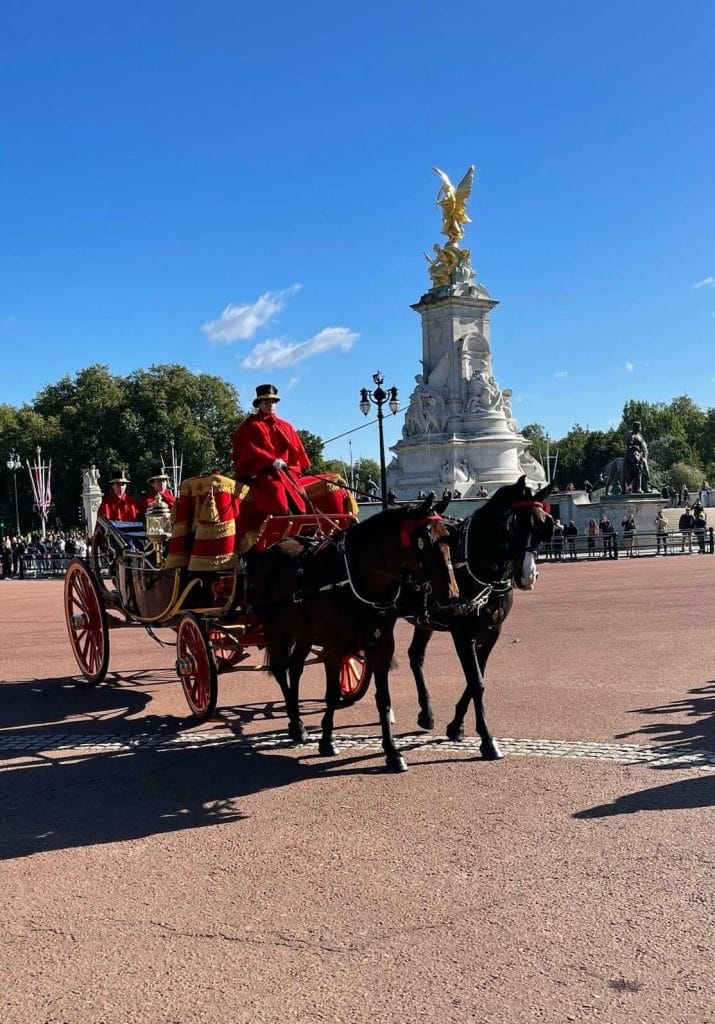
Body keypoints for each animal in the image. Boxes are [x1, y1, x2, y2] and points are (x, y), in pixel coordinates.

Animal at [244, 499, 456, 770]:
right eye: (424, 542)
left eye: (448, 538)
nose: (451, 595)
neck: (355, 578)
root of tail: (269, 550)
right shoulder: (333, 648)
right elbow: (332, 694)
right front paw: (327, 741)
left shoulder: (382, 645)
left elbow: (383, 698)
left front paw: (392, 751)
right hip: (274, 631)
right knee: (282, 671)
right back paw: (296, 723)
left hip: (303, 633)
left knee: (295, 668)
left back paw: (297, 723)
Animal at [401, 475, 553, 757]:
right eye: (514, 524)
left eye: (544, 526)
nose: (527, 577)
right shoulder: (462, 633)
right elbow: (476, 681)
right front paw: (487, 740)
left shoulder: (492, 632)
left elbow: (478, 678)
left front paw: (456, 726)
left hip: (424, 621)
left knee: (416, 656)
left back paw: (426, 714)